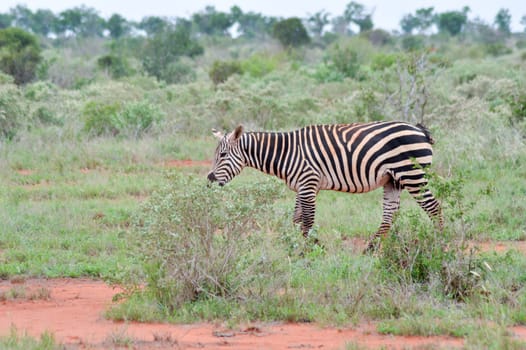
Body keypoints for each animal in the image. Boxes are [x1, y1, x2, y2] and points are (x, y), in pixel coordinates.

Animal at [208, 121, 444, 252]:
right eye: (216, 154)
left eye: (223, 155)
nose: (209, 180)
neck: (286, 154)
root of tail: (419, 130)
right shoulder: (301, 186)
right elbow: (297, 219)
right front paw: (297, 247)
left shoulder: (308, 183)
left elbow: (307, 220)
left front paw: (310, 249)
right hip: (392, 180)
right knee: (390, 214)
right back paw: (370, 249)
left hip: (412, 175)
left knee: (434, 207)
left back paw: (439, 243)